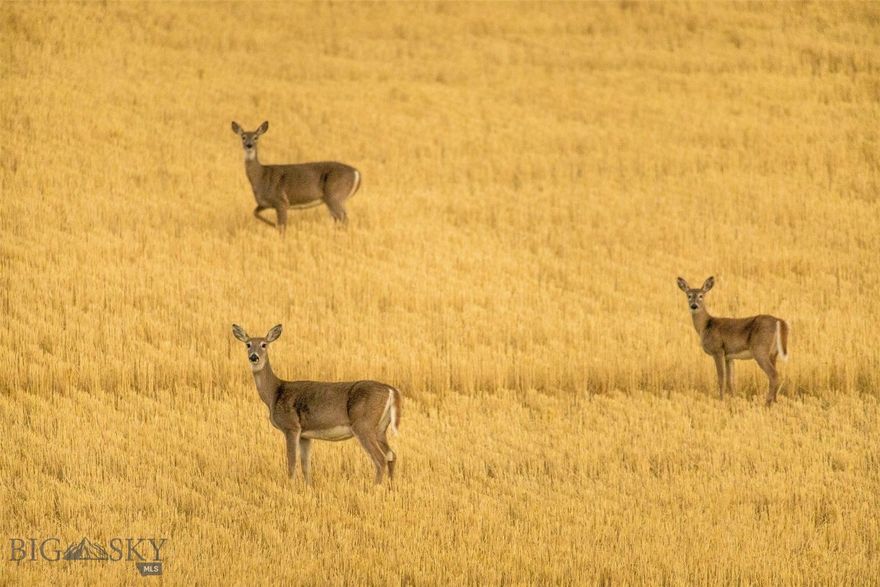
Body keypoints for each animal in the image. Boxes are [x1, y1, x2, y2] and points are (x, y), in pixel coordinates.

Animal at [230, 121, 361, 233]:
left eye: (256, 137)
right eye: (243, 136)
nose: (249, 145)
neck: (261, 176)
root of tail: (356, 172)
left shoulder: (281, 202)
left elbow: (282, 227)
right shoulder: (264, 203)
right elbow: (255, 213)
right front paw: (273, 225)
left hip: (334, 196)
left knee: (343, 218)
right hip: (334, 199)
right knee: (340, 219)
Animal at [231, 324, 401, 485]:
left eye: (264, 344)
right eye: (248, 344)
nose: (254, 357)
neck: (274, 393)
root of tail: (390, 390)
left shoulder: (291, 427)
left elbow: (291, 464)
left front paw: (290, 487)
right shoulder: (305, 435)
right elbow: (306, 465)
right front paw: (308, 488)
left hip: (363, 424)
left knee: (380, 459)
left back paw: (375, 488)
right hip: (380, 428)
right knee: (391, 455)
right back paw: (391, 488)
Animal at [676, 277, 790, 405]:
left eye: (701, 295)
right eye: (689, 295)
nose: (694, 306)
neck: (706, 325)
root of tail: (780, 321)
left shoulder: (717, 350)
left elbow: (721, 378)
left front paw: (721, 400)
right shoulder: (728, 356)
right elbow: (731, 381)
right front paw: (733, 400)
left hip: (760, 349)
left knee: (773, 374)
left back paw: (767, 403)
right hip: (773, 352)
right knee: (776, 373)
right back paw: (775, 402)